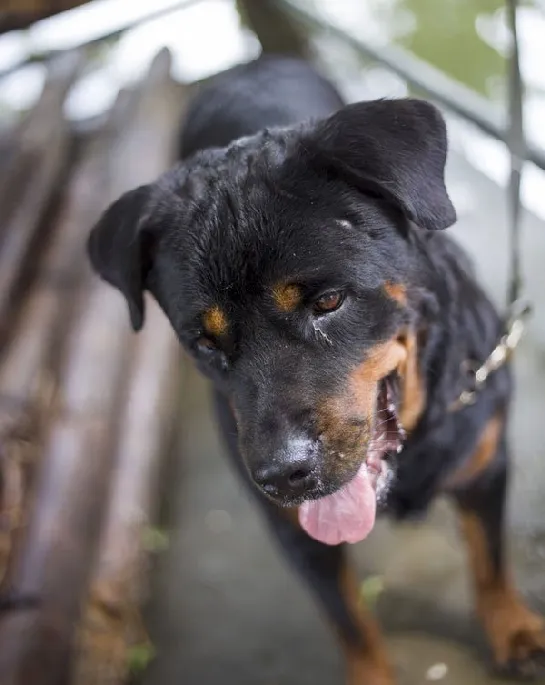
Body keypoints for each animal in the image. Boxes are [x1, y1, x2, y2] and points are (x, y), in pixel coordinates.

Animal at [88, 56, 544, 680]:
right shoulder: (296, 534)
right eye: (203, 342)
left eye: (328, 301)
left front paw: (514, 630)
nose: (283, 473)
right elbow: (349, 620)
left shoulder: (485, 463)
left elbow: (491, 560)